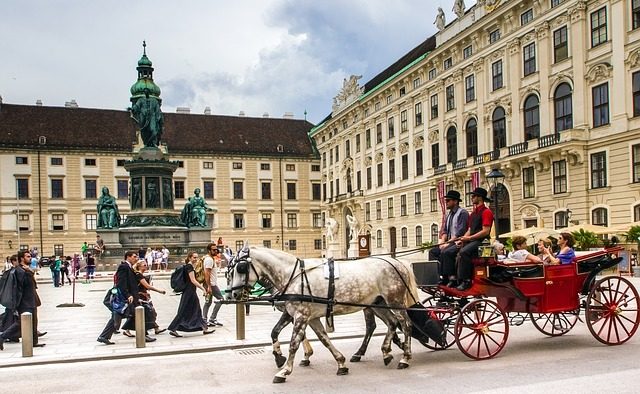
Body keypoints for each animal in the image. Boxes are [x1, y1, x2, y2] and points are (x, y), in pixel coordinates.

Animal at [226, 245, 420, 384]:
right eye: (229, 271)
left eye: (240, 268)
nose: (231, 295)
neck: (293, 276)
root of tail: (397, 262)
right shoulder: (305, 316)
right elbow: (321, 338)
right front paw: (340, 362)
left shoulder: (301, 315)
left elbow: (294, 343)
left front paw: (284, 370)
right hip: (377, 303)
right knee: (391, 323)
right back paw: (386, 352)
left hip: (394, 302)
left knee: (405, 325)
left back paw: (405, 357)